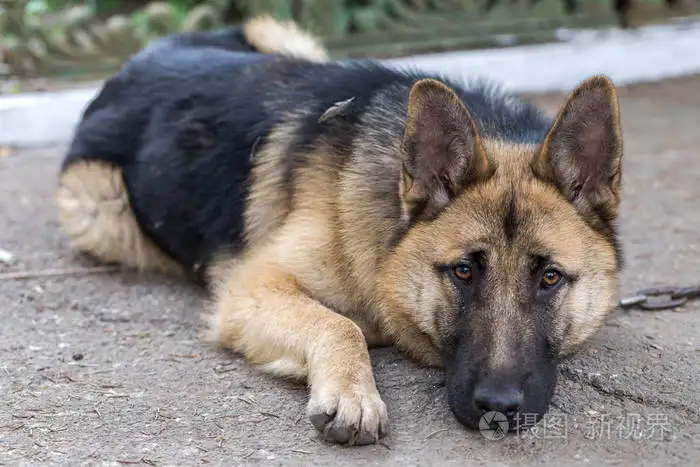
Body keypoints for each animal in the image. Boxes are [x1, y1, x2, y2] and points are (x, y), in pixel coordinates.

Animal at [54, 13, 624, 446]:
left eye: (549, 278)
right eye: (463, 272)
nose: (499, 408)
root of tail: (131, 65)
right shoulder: (250, 288)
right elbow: (339, 324)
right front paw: (353, 392)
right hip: (100, 209)